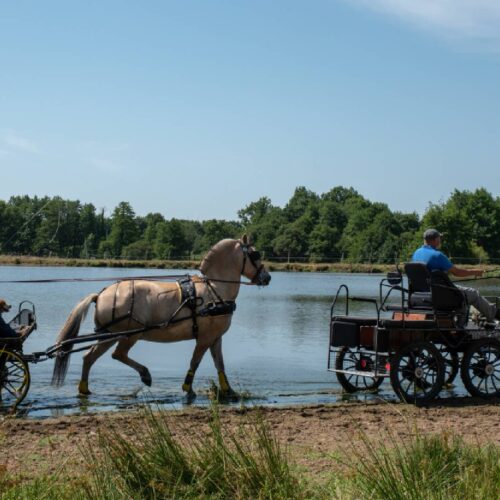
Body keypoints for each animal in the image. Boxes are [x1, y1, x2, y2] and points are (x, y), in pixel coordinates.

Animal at [51, 236, 270, 400]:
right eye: (255, 254)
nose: (267, 277)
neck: (214, 289)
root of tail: (101, 294)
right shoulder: (204, 338)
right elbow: (195, 362)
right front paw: (188, 389)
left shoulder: (215, 338)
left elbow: (220, 365)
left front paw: (229, 391)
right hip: (127, 335)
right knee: (117, 355)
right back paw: (144, 374)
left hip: (108, 335)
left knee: (89, 357)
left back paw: (85, 389)